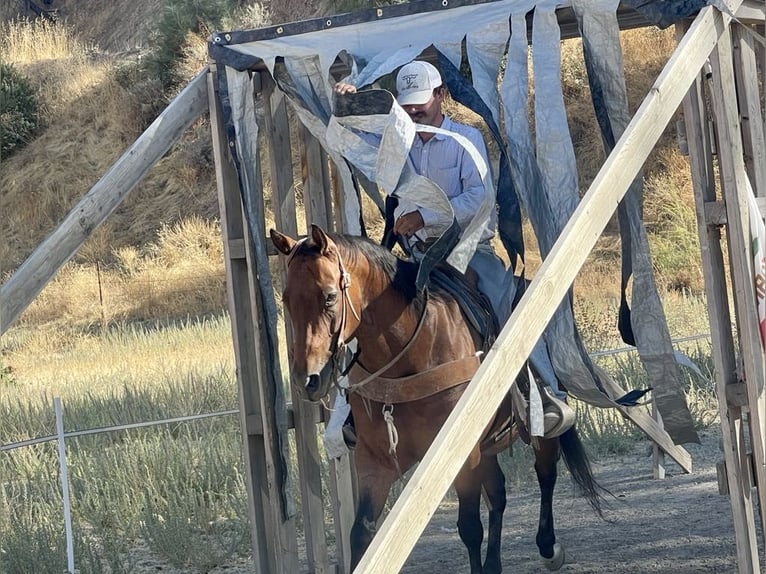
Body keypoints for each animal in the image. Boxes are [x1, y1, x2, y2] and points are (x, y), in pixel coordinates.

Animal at [270, 224, 604, 573]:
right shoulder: (374, 461)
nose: (308, 379)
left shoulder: (461, 457)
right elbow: (362, 533)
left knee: (546, 472)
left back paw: (548, 546)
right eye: (287, 299)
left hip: (537, 429)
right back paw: (494, 563)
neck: (412, 353)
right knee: (498, 491)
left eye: (330, 296)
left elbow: (470, 527)